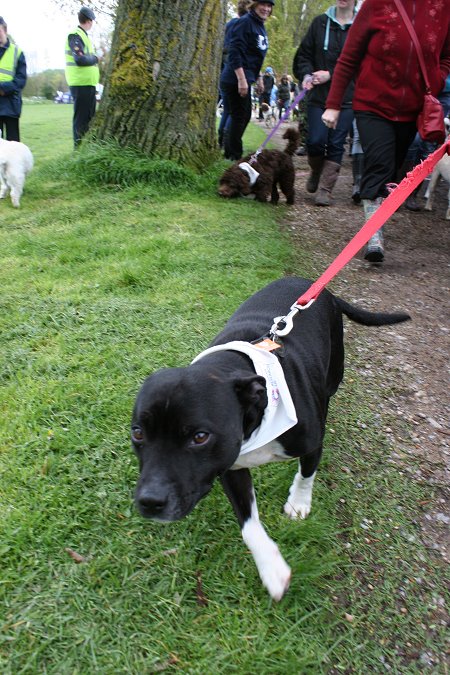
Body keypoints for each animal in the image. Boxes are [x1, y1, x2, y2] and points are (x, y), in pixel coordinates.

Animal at [131, 278, 412, 600]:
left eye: (200, 437)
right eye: (137, 433)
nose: (150, 501)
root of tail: (319, 288)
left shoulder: (310, 443)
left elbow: (306, 474)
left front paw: (299, 503)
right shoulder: (232, 465)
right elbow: (249, 525)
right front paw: (272, 569)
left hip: (334, 372)